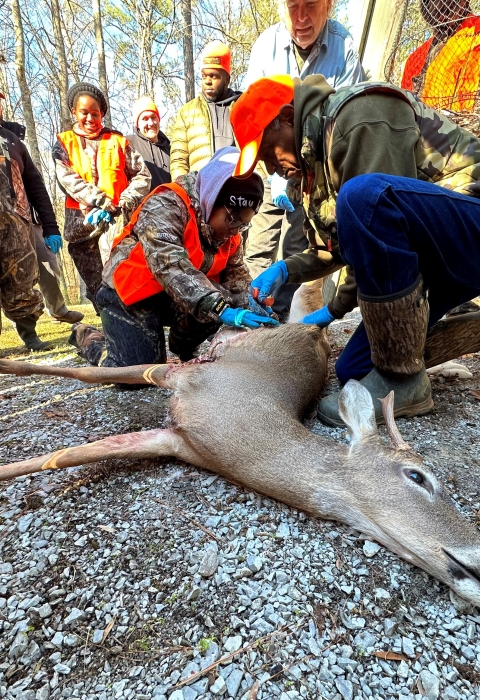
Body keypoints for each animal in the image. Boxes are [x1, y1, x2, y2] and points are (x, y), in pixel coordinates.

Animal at [0, 284, 479, 607]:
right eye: (418, 476)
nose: (476, 558)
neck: (237, 423)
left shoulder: (173, 439)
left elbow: (64, 455)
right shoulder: (184, 375)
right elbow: (83, 381)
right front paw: (10, 368)